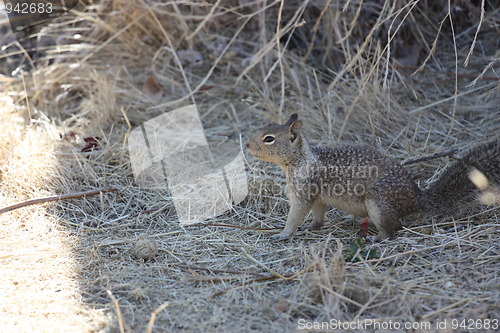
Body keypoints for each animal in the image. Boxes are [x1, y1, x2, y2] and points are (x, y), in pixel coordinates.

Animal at [244, 114, 498, 239]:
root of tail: (418, 198)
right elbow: (318, 214)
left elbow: (295, 215)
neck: (300, 160)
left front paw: (283, 234)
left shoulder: (303, 193)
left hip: (378, 204)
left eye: (269, 138)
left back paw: (374, 239)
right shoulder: (317, 196)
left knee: (392, 231)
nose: (246, 144)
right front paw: (312, 228)